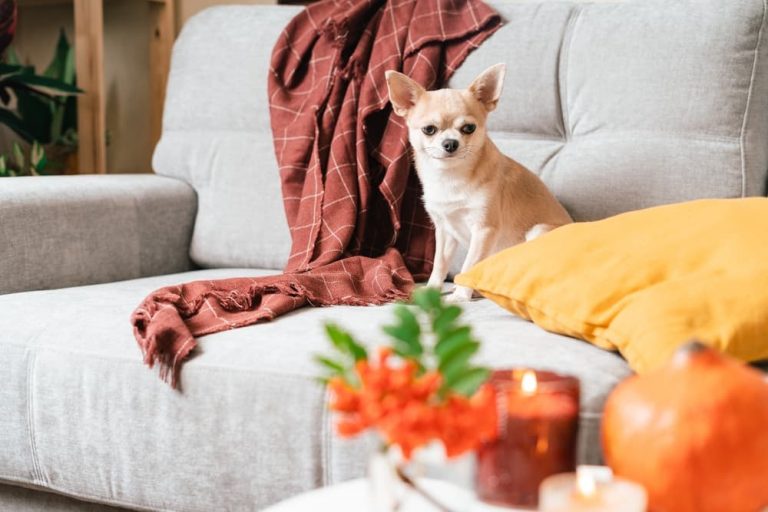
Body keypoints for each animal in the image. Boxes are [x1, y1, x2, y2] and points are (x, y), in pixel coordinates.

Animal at [388, 64, 572, 304]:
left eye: (469, 128)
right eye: (429, 129)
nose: (450, 143)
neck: (451, 177)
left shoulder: (484, 230)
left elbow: (469, 265)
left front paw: (460, 296)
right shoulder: (445, 231)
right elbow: (439, 264)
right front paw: (432, 290)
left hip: (538, 232)